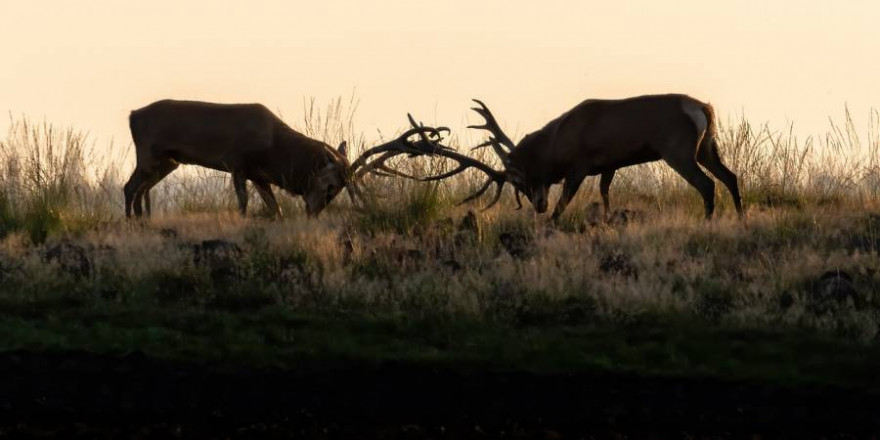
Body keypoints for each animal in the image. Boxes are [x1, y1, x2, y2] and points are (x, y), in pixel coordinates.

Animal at [404, 95, 744, 222]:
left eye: (520, 179)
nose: (537, 205)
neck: (556, 146)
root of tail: (703, 108)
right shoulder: (610, 165)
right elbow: (605, 194)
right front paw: (608, 219)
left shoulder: (580, 165)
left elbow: (564, 203)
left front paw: (552, 221)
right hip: (707, 146)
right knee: (730, 176)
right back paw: (740, 218)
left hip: (677, 150)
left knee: (707, 184)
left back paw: (708, 221)